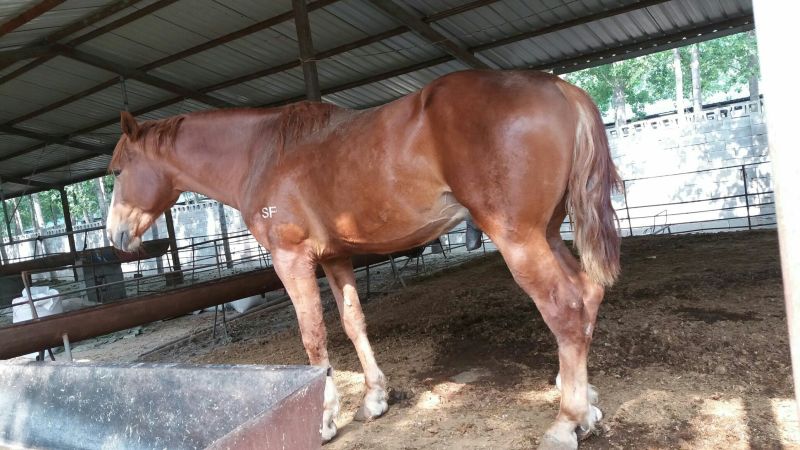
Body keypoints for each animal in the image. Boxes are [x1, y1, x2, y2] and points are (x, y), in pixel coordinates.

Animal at [106, 70, 621, 449]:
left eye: (117, 170)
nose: (115, 235)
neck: (262, 155)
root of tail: (561, 88)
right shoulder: (335, 259)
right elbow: (354, 323)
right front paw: (373, 400)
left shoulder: (291, 259)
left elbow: (313, 335)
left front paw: (323, 421)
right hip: (549, 233)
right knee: (589, 294)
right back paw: (583, 398)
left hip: (520, 239)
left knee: (565, 309)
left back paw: (566, 421)